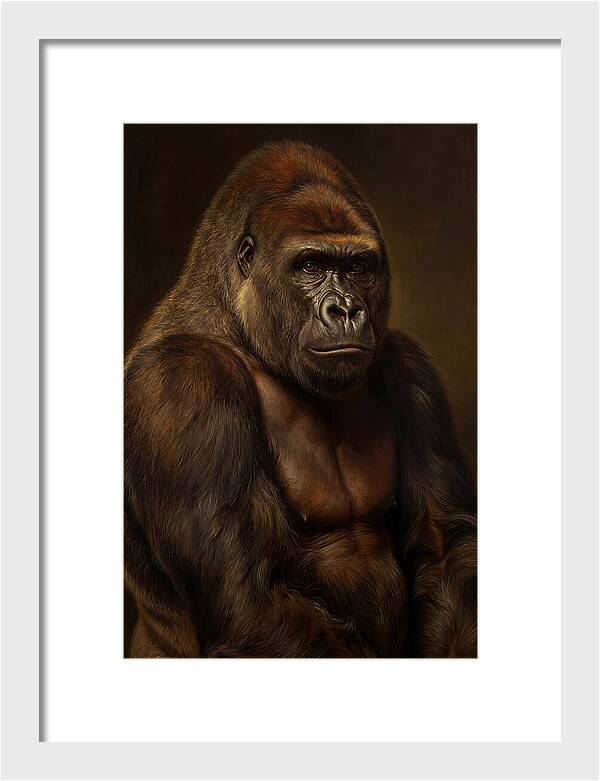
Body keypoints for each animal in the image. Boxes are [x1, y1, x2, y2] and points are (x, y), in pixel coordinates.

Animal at [124, 140, 477, 658]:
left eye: (356, 267)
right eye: (310, 265)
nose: (346, 309)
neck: (240, 326)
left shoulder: (411, 370)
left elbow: (443, 543)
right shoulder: (183, 383)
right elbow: (248, 596)